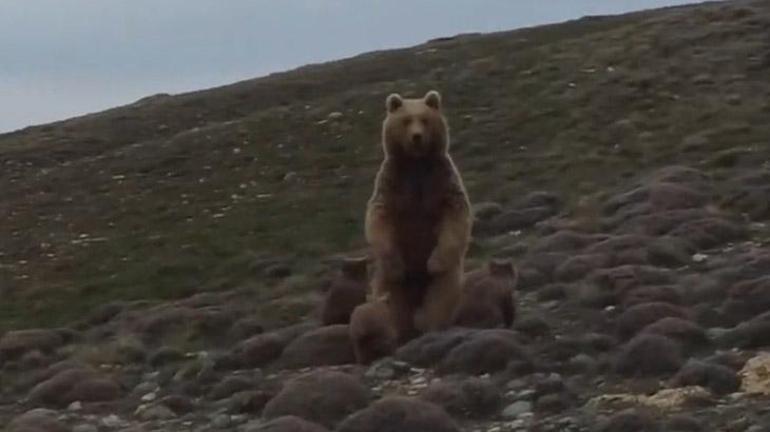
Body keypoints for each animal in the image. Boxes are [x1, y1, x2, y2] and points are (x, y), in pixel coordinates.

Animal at [364, 89, 472, 342]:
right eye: (406, 120)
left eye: (424, 119)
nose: (416, 137)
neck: (416, 164)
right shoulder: (393, 183)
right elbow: (379, 217)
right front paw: (396, 264)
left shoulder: (441, 180)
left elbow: (455, 215)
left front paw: (434, 263)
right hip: (388, 282)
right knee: (394, 304)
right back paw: (400, 332)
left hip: (446, 279)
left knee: (440, 297)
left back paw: (432, 327)